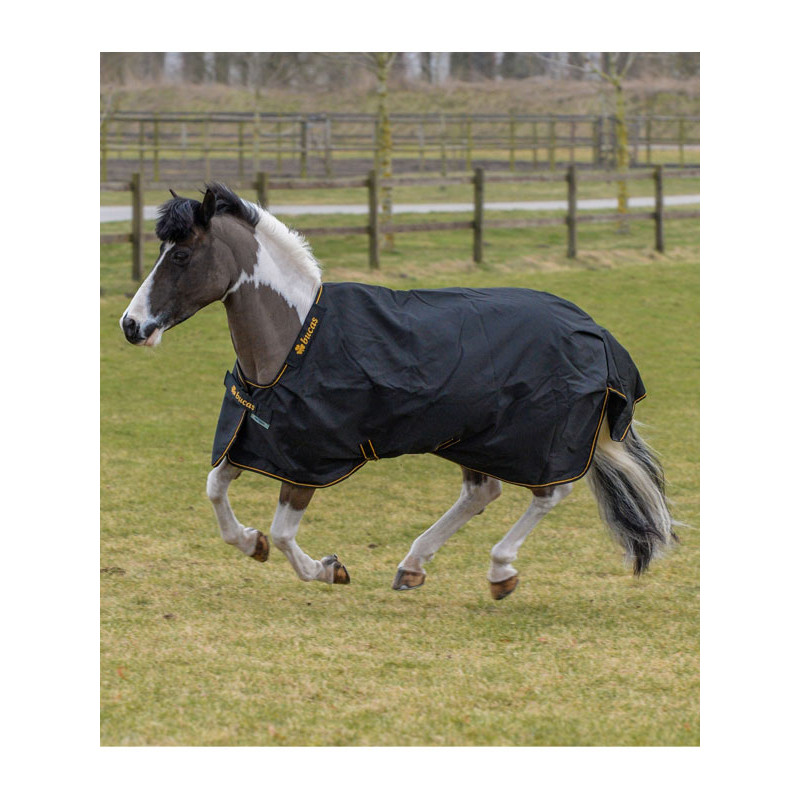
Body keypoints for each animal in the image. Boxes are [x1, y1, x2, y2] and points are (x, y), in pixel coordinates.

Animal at [120, 183, 677, 600]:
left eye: (182, 255)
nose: (131, 326)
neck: (293, 341)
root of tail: (595, 331)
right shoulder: (254, 441)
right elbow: (215, 490)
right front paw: (250, 543)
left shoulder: (307, 460)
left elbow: (282, 532)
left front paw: (328, 569)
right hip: (473, 437)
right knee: (482, 492)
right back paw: (413, 566)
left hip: (533, 442)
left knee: (549, 493)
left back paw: (500, 571)